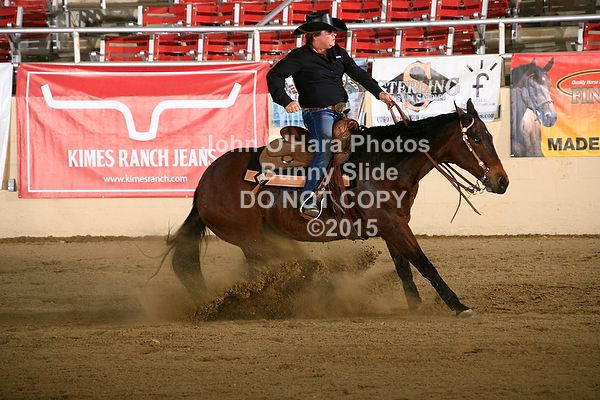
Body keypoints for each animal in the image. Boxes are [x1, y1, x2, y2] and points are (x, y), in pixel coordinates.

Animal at [165, 99, 509, 318]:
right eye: (477, 138)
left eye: (490, 135)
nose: (502, 181)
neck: (384, 163)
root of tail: (203, 185)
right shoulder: (394, 225)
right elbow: (425, 265)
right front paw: (459, 306)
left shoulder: (392, 225)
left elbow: (405, 269)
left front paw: (415, 307)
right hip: (252, 240)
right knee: (260, 274)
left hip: (268, 238)